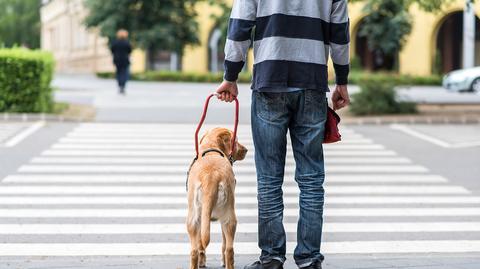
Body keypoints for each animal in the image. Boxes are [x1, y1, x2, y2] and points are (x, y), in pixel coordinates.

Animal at [187, 127, 248, 268]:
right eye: (236, 141)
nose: (246, 150)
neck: (212, 148)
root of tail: (211, 177)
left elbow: (200, 244)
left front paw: (202, 261)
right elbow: (224, 245)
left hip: (193, 219)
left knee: (194, 251)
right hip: (229, 219)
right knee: (229, 250)